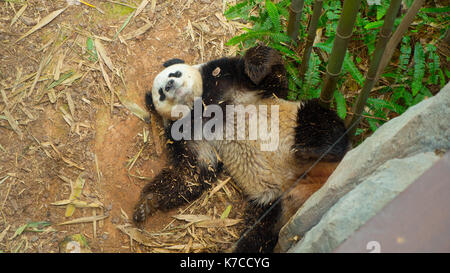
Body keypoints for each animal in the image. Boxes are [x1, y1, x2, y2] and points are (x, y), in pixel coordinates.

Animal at [134, 44, 352, 251]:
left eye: (175, 74)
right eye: (160, 94)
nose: (169, 85)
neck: (200, 105)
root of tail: (310, 180)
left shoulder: (224, 78)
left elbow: (274, 82)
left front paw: (256, 63)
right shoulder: (186, 132)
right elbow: (195, 170)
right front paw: (147, 203)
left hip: (297, 121)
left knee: (319, 120)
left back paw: (312, 147)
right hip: (274, 203)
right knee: (260, 233)